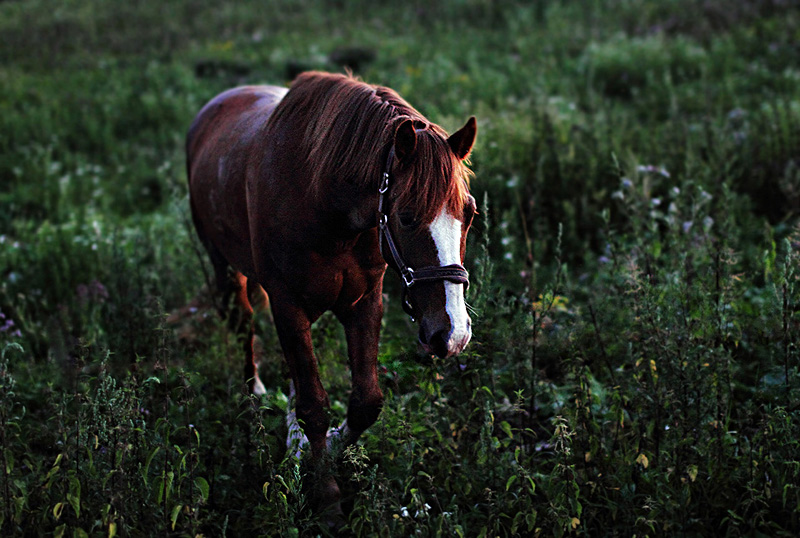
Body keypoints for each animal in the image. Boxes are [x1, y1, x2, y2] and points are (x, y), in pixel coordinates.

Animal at [185, 70, 478, 506]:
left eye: (470, 213)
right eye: (407, 217)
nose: (452, 334)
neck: (322, 200)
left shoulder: (364, 301)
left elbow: (365, 403)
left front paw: (324, 448)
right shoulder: (287, 305)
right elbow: (314, 407)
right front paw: (324, 492)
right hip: (225, 269)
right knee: (243, 327)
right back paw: (256, 392)